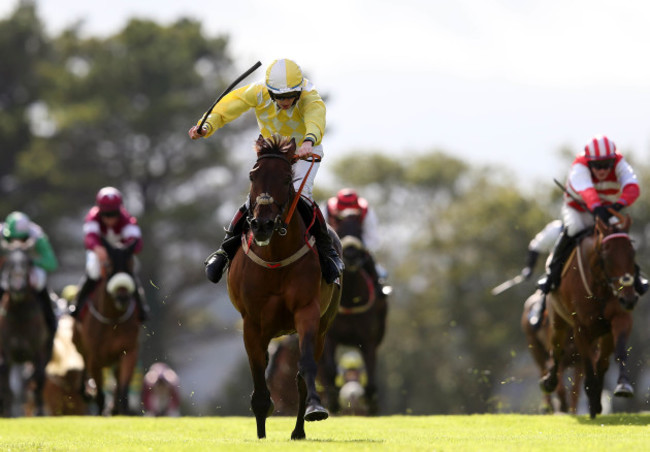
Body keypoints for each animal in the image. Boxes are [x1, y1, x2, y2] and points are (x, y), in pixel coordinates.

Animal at [0, 240, 50, 416]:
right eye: (8, 263)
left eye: (28, 263)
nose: (18, 287)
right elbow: (6, 385)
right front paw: (6, 412)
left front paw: (39, 411)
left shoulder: (38, 351)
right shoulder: (5, 353)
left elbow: (38, 378)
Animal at [72, 238, 140, 414]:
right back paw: (85, 391)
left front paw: (120, 409)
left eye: (130, 263)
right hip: (80, 347)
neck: (112, 319)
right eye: (108, 264)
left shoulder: (129, 351)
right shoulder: (94, 358)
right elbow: (100, 396)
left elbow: (123, 390)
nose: (122, 296)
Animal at [227, 133, 342, 438]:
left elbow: (306, 368)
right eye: (253, 175)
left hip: (324, 325)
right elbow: (259, 378)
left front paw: (315, 409)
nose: (262, 225)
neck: (275, 256)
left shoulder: (307, 312)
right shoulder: (252, 322)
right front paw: (261, 432)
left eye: (287, 178)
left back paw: (300, 429)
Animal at [318, 208, 384, 414]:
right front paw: (334, 400)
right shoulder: (330, 337)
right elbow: (330, 371)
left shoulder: (368, 340)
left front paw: (371, 404)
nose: (352, 253)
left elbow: (370, 381)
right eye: (339, 229)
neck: (349, 299)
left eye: (359, 230)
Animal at [540, 214, 636, 418]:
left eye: (632, 252)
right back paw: (549, 382)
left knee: (601, 362)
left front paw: (623, 386)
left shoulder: (619, 318)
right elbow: (587, 365)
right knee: (556, 349)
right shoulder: (581, 328)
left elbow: (618, 352)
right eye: (607, 254)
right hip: (557, 320)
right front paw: (592, 401)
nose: (629, 299)